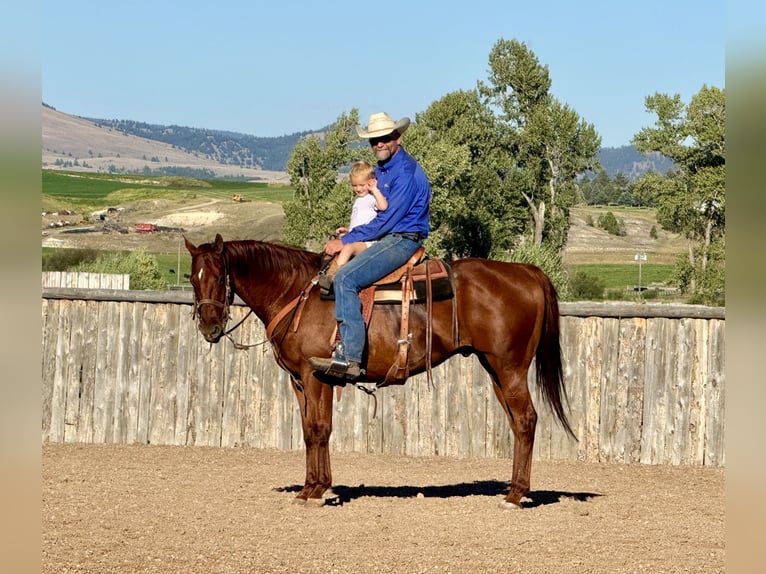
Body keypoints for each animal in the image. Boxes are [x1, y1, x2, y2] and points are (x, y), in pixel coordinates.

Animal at [184, 233, 574, 509]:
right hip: (494, 368)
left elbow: (319, 429)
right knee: (517, 423)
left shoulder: (316, 376)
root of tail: (527, 271)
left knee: (526, 420)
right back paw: (515, 490)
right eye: (192, 277)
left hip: (509, 367)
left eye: (219, 275)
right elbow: (309, 431)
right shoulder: (299, 381)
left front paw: (317, 490)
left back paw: (515, 495)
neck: (296, 294)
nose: (209, 328)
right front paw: (311, 487)